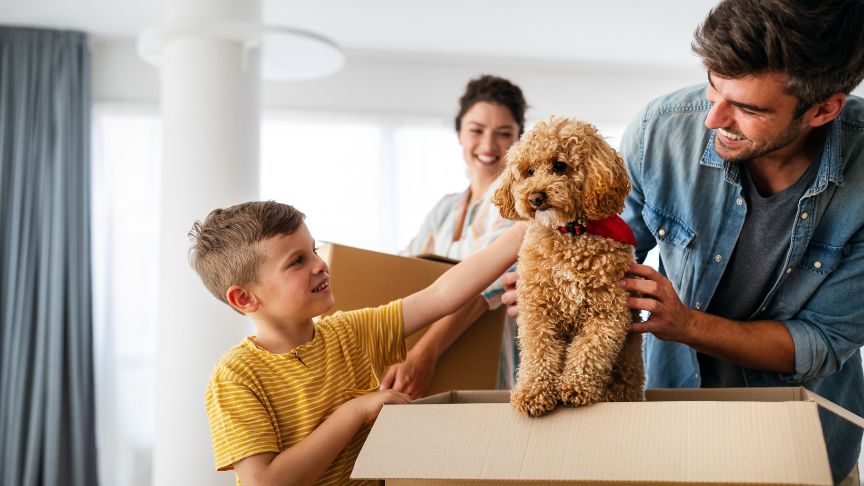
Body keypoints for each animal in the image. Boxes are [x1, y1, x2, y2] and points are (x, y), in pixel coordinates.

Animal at [490, 117, 644, 418]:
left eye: (559, 166)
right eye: (528, 171)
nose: (535, 197)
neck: (570, 233)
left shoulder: (608, 312)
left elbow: (590, 350)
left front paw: (575, 387)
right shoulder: (537, 310)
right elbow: (538, 352)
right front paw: (533, 392)